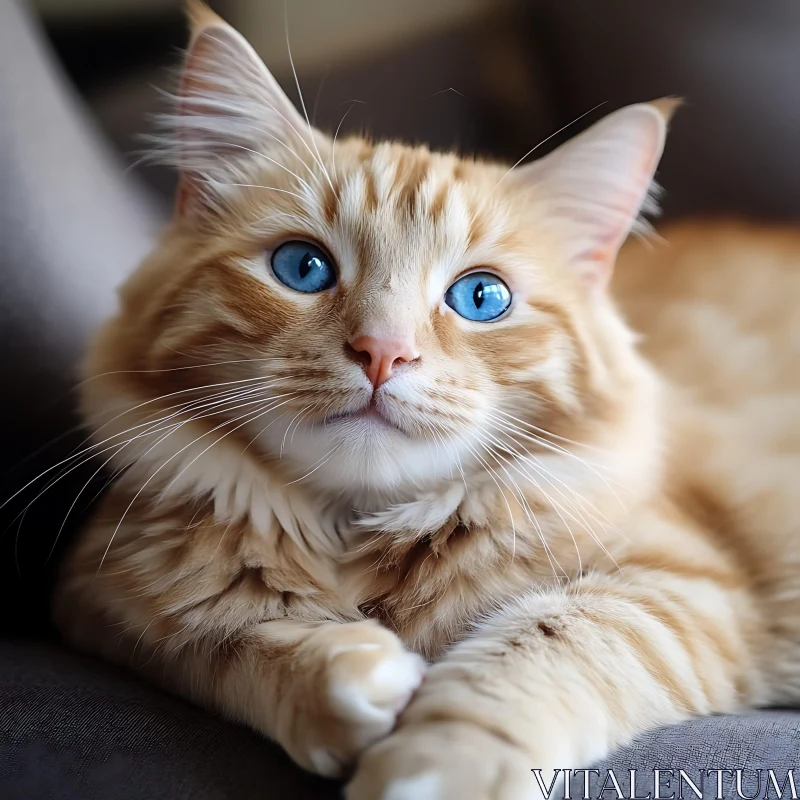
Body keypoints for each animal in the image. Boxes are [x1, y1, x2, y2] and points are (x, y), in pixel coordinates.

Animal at [53, 1, 796, 800]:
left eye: (482, 297)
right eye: (302, 267)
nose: (383, 350)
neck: (361, 531)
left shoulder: (685, 585)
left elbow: (533, 655)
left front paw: (433, 767)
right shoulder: (102, 597)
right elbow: (223, 638)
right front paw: (342, 674)